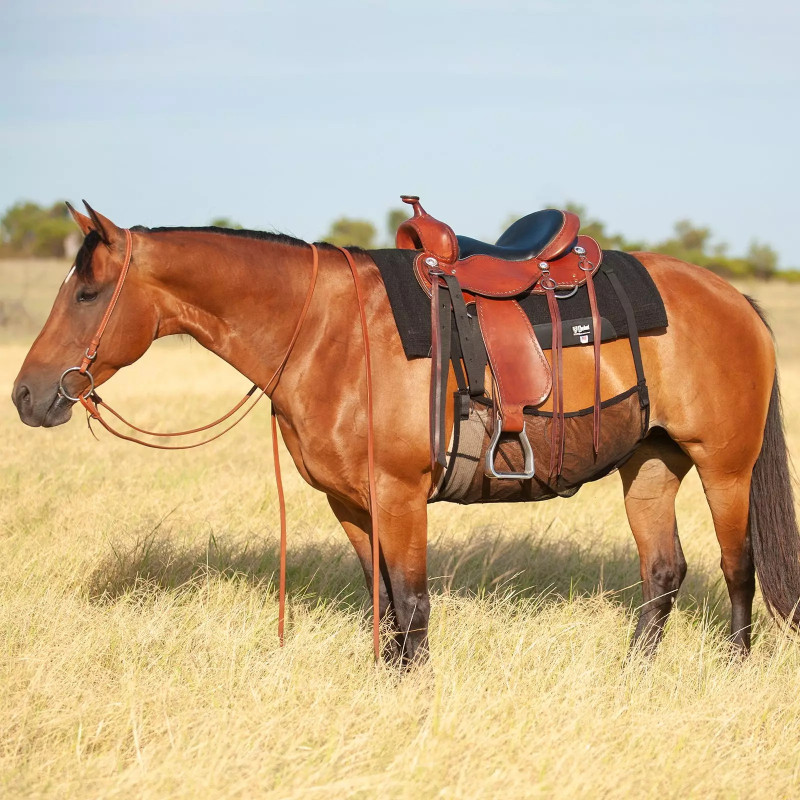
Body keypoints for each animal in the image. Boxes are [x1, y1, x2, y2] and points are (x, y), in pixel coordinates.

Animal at [11, 203, 800, 665]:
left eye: (86, 294)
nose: (25, 396)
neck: (323, 330)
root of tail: (733, 298)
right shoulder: (353, 504)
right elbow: (384, 602)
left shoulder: (399, 496)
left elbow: (414, 604)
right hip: (650, 465)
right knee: (663, 571)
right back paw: (634, 672)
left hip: (724, 468)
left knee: (738, 570)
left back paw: (732, 666)